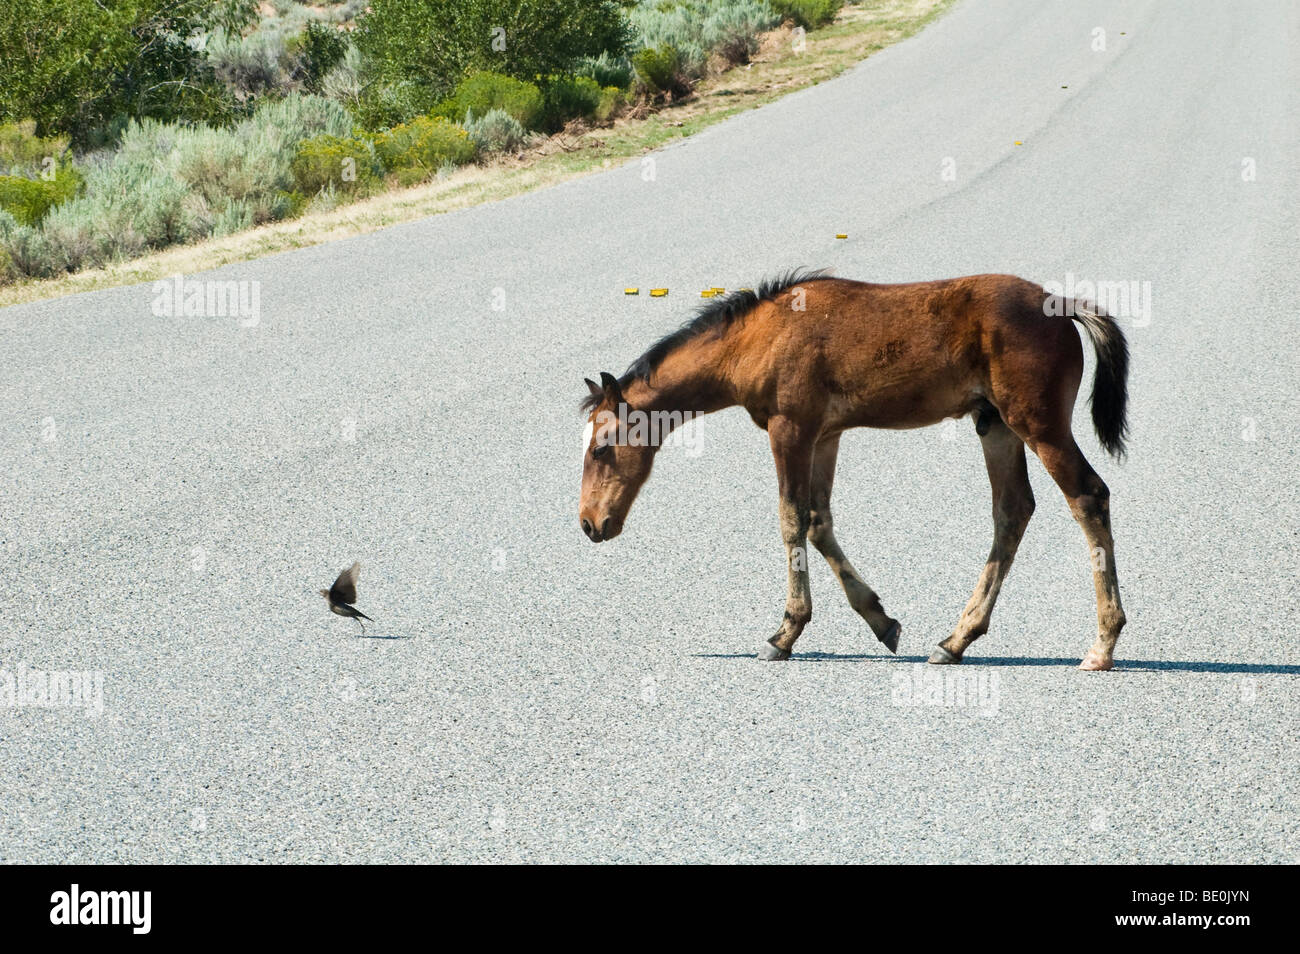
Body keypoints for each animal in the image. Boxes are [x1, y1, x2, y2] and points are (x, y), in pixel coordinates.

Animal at [579, 269, 1128, 670]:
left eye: (601, 448)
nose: (590, 524)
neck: (758, 339)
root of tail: (1062, 304)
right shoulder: (826, 436)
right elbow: (818, 521)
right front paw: (882, 621)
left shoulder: (790, 430)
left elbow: (790, 520)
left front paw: (784, 633)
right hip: (994, 426)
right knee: (1013, 510)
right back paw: (955, 640)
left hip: (1038, 425)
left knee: (1088, 496)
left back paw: (1102, 645)